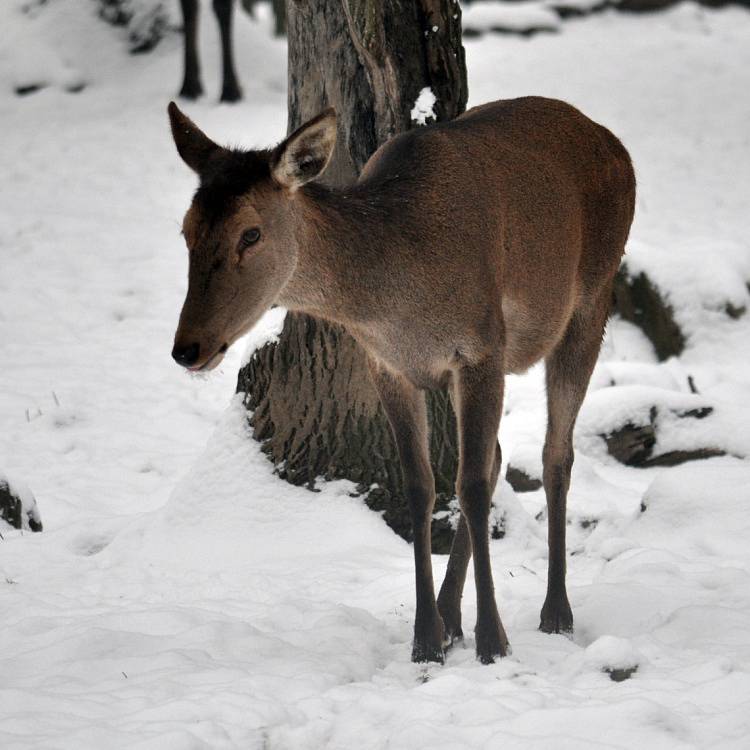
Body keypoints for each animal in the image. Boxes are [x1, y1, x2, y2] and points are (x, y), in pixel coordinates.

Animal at [167, 98, 636, 664]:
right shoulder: (387, 365)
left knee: (555, 453)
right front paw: (426, 639)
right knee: (500, 456)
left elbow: (469, 485)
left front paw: (493, 640)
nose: (187, 348)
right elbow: (421, 485)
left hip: (593, 297)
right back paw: (452, 614)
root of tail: (612, 141)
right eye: (186, 231)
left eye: (251, 234)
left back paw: (556, 612)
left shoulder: (482, 347)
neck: (398, 300)